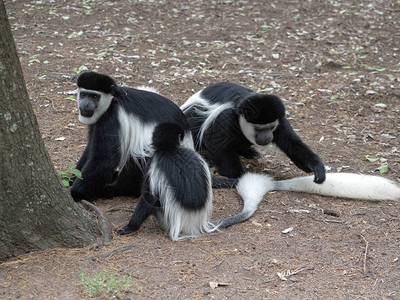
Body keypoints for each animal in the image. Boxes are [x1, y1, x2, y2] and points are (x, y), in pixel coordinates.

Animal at [70, 71, 194, 200]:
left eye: (95, 97)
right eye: (83, 94)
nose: (85, 104)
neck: (113, 101)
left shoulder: (112, 118)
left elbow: (104, 159)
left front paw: (76, 193)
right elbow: (91, 148)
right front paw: (73, 176)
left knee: (139, 159)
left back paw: (115, 189)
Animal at [117, 120, 398, 240]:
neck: (171, 149)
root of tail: (195, 224)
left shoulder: (153, 166)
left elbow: (147, 197)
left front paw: (129, 227)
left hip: (165, 217)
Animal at [181, 82, 324, 184]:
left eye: (271, 127)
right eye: (259, 129)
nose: (267, 137)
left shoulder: (280, 122)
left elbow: (291, 144)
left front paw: (316, 167)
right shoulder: (225, 118)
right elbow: (217, 143)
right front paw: (238, 175)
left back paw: (248, 151)